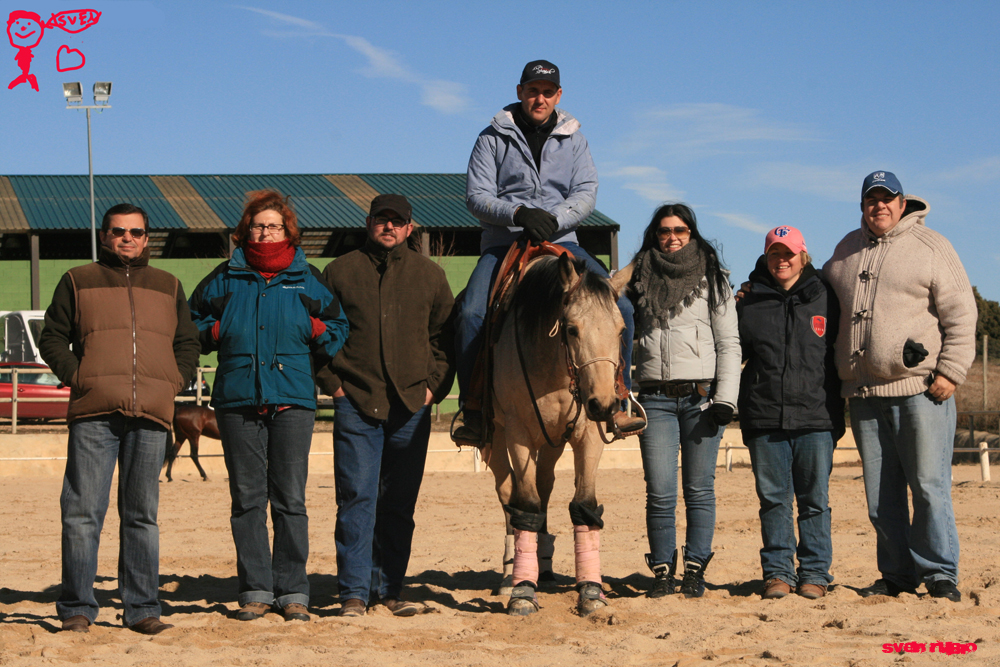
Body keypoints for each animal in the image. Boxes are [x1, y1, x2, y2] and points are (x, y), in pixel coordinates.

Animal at [478, 249, 628, 616]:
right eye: (571, 329)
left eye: (620, 330)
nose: (605, 404)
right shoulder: (517, 433)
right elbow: (527, 506)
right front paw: (522, 591)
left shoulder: (588, 435)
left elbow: (584, 504)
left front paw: (591, 591)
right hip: (497, 438)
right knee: (510, 495)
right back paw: (510, 575)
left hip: (551, 443)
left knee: (543, 485)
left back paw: (542, 566)